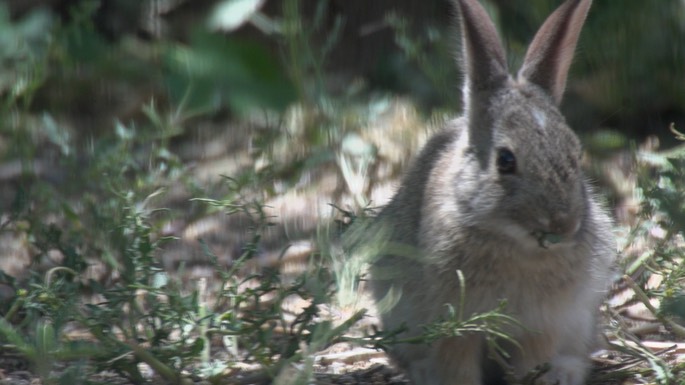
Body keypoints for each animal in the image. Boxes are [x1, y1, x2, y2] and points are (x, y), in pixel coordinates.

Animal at [366, 0, 616, 384]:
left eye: (576, 154)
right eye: (505, 161)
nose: (562, 225)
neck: (514, 243)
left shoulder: (542, 324)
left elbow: (534, 359)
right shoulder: (455, 326)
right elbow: (458, 365)